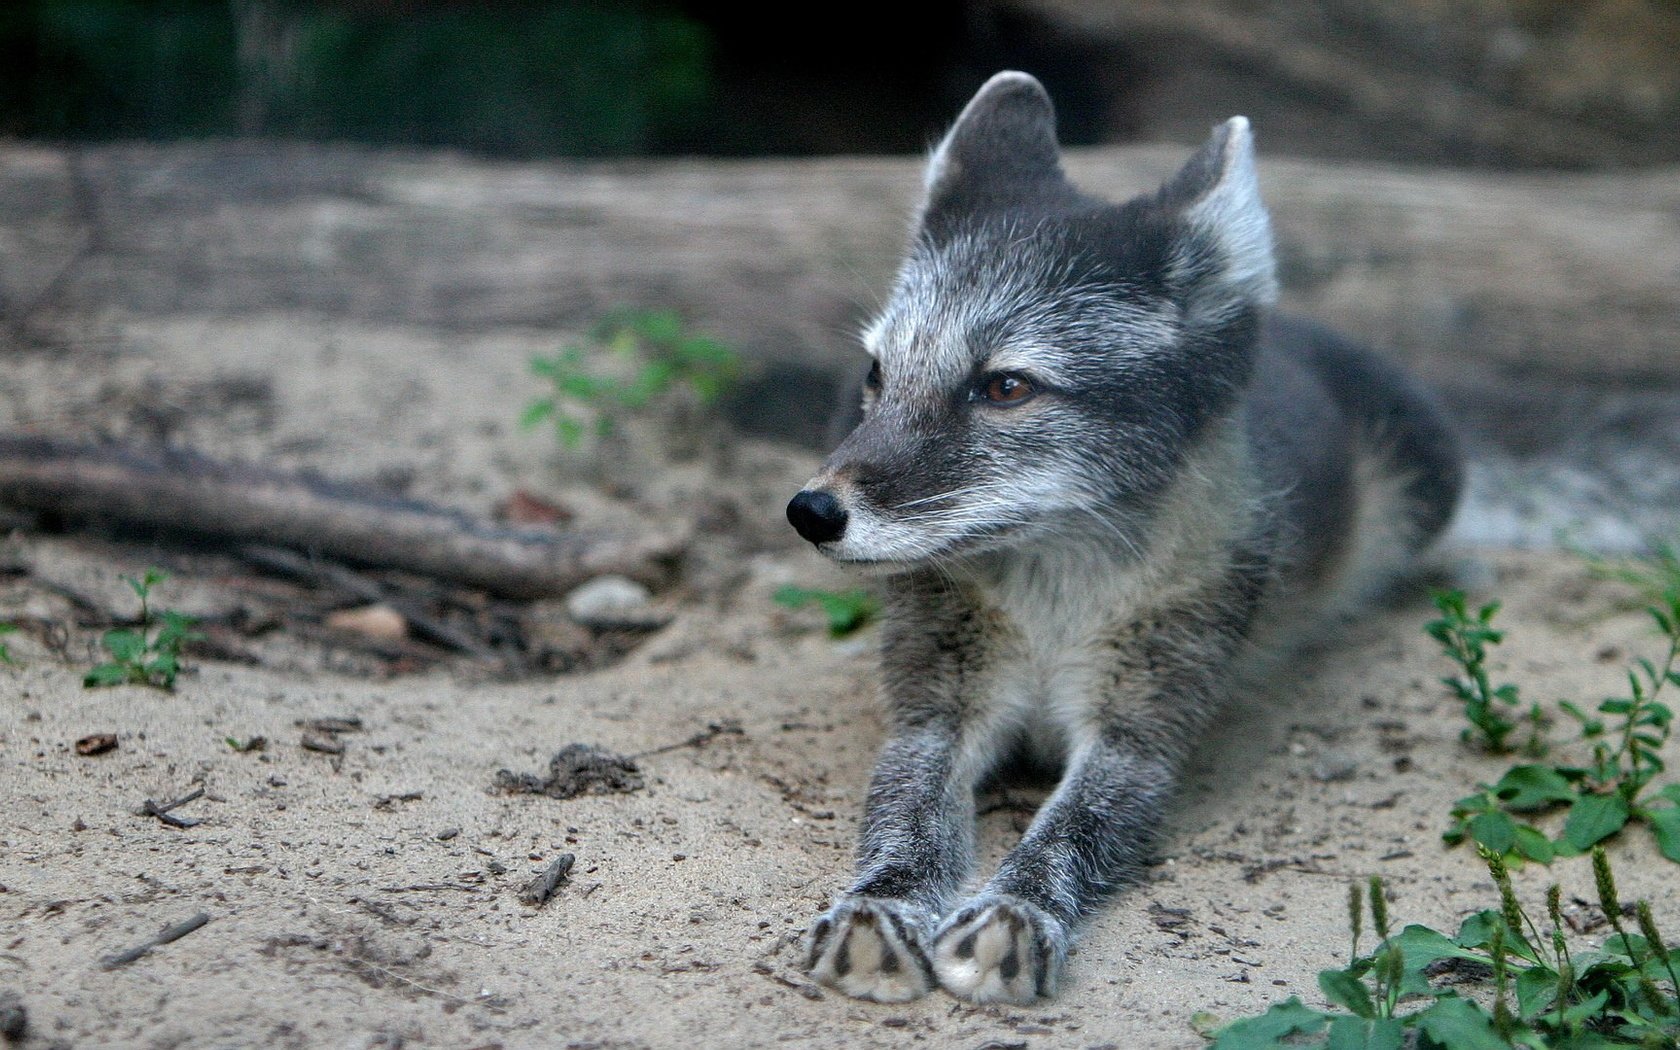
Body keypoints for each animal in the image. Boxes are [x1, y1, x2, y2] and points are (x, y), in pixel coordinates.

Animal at [786, 69, 1458, 1001]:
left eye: (1006, 387)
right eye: (878, 375)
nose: (811, 512)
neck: (1053, 605)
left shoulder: (1143, 736)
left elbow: (1071, 829)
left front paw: (1016, 911)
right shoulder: (934, 713)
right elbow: (904, 814)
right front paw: (880, 905)